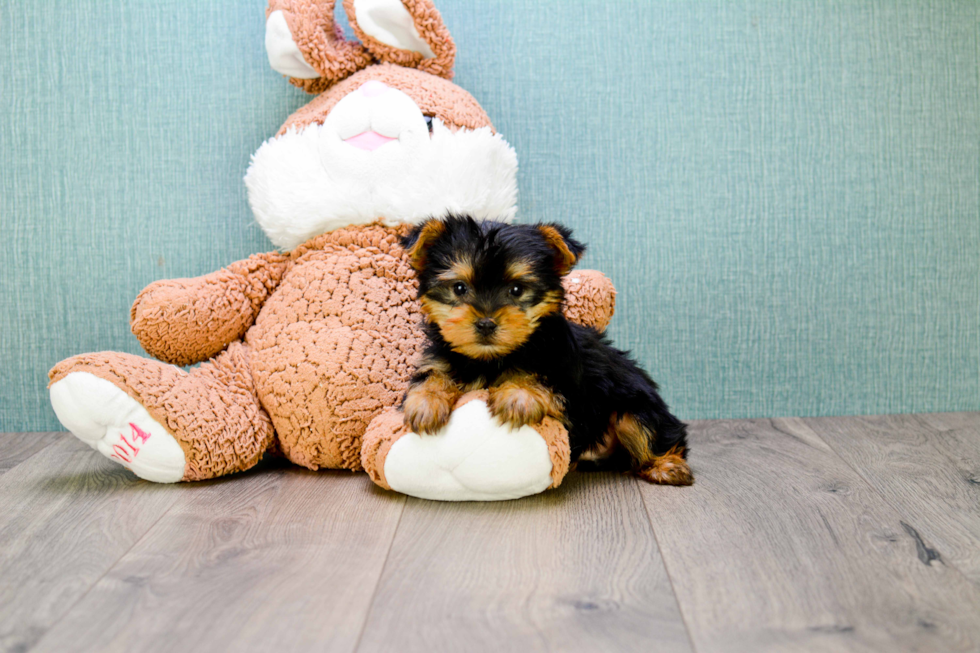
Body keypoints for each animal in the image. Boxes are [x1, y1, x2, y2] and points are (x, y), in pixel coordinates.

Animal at [402, 214, 692, 484]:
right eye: (459, 288)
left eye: (516, 289)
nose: (485, 323)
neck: (490, 358)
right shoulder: (440, 358)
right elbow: (432, 375)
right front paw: (426, 401)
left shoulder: (570, 387)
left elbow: (544, 381)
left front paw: (518, 394)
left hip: (638, 406)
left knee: (650, 429)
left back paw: (667, 466)